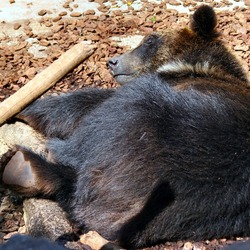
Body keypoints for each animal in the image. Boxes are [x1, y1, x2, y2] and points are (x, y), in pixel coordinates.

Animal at [1, 4, 250, 250]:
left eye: (149, 40)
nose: (113, 61)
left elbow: (85, 103)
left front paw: (26, 107)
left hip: (146, 124)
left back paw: (26, 164)